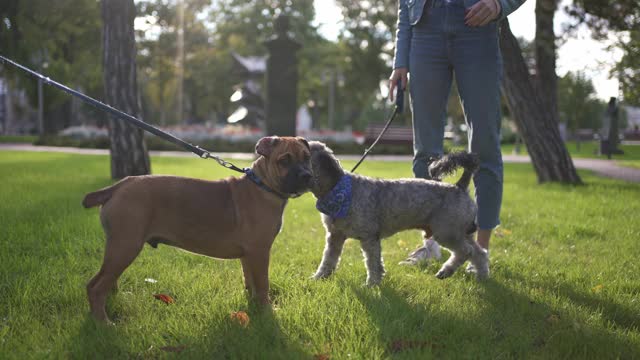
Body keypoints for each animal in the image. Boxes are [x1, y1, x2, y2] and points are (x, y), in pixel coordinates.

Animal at [82, 136, 312, 322]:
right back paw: (103, 323)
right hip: (126, 246)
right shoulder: (260, 252)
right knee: (95, 287)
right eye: (284, 160)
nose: (306, 175)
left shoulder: (249, 255)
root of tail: (118, 186)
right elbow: (263, 285)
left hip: (118, 248)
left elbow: (250, 282)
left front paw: (253, 305)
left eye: (307, 157)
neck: (262, 186)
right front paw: (267, 312)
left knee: (107, 281)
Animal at [308, 142, 488, 286]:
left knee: (466, 252)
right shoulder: (335, 236)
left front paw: (372, 284)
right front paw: (319, 278)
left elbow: (373, 264)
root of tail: (459, 186)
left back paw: (447, 271)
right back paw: (482, 277)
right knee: (480, 253)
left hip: (446, 233)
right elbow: (328, 260)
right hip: (462, 233)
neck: (340, 190)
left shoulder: (369, 238)